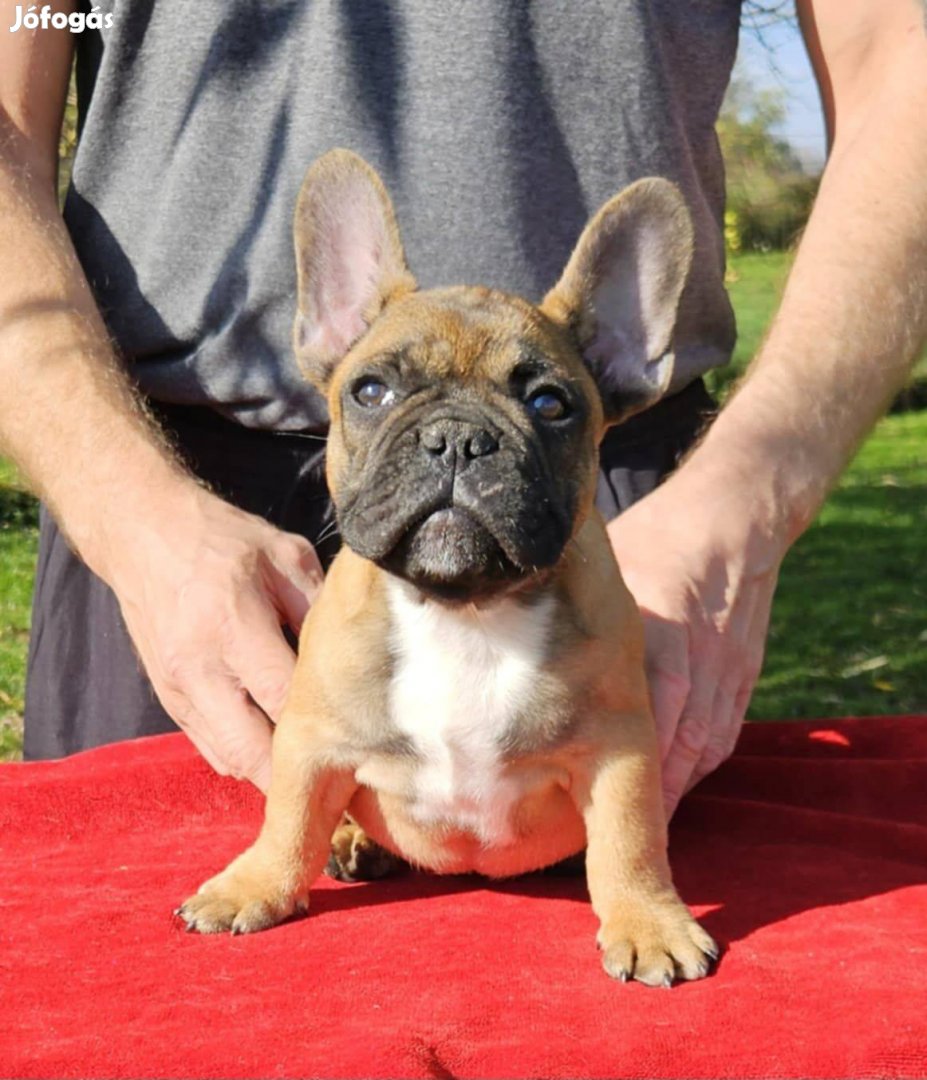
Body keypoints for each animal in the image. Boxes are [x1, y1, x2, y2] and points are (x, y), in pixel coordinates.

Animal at [179, 150, 717, 989]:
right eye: (371, 391)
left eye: (551, 404)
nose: (458, 439)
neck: (464, 609)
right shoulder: (309, 739)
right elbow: (289, 818)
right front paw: (254, 886)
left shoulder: (621, 748)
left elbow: (629, 841)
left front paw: (648, 921)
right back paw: (353, 843)